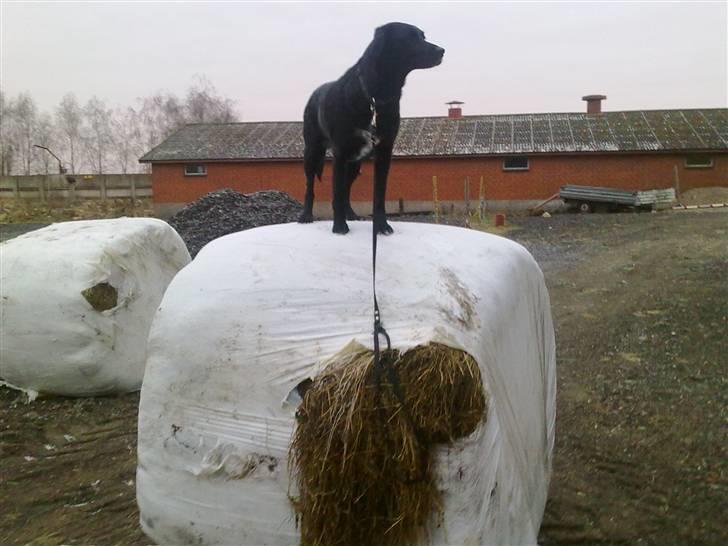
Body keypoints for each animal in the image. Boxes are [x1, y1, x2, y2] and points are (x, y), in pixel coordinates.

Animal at [296, 22, 444, 234]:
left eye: (423, 36)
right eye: (410, 38)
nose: (442, 51)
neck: (374, 96)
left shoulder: (384, 151)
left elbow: (378, 195)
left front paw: (382, 226)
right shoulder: (340, 152)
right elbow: (336, 193)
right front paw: (339, 226)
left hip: (355, 164)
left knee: (346, 189)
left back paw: (350, 213)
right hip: (312, 152)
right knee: (311, 186)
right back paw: (306, 216)